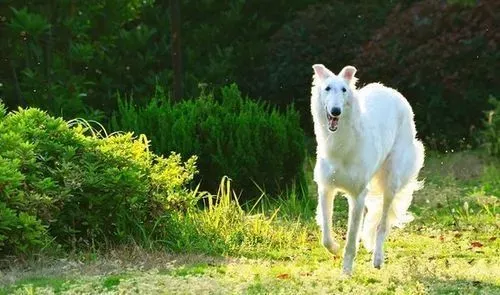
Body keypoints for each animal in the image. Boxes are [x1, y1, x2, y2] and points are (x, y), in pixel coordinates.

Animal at [310, 63, 424, 276]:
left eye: (344, 90)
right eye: (327, 88)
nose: (336, 111)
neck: (342, 146)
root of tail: (392, 91)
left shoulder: (357, 195)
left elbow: (351, 241)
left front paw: (346, 271)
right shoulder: (326, 189)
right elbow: (326, 235)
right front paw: (334, 248)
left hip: (390, 183)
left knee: (382, 224)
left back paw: (377, 258)